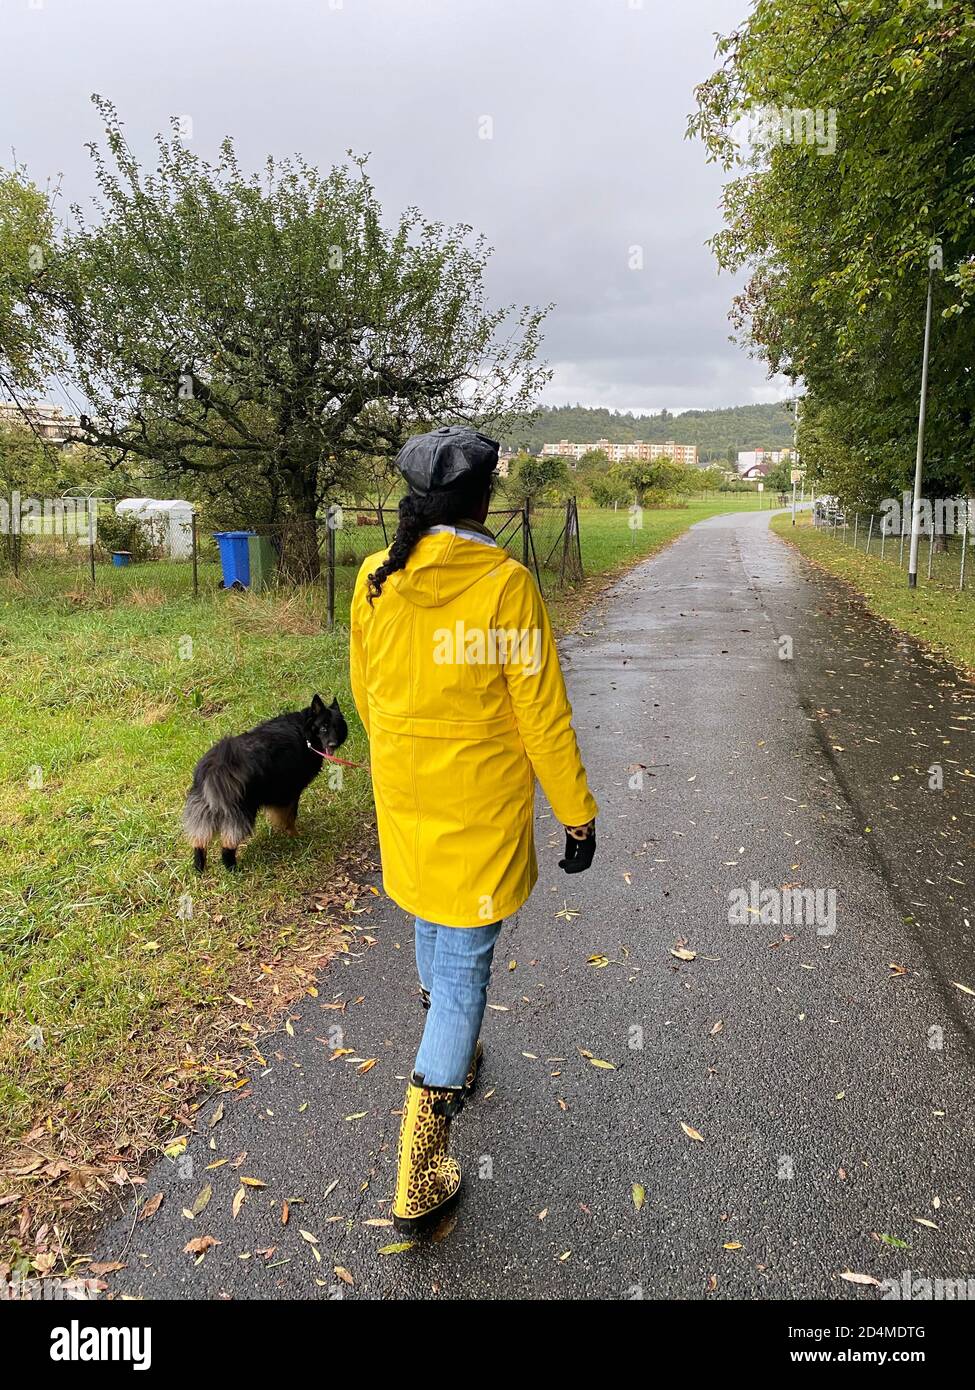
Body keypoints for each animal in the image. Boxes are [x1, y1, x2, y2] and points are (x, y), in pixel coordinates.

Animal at [184, 695, 347, 867]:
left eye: (337, 727)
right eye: (323, 728)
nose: (333, 744)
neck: (304, 731)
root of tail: (217, 765)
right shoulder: (290, 792)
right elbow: (290, 817)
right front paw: (295, 836)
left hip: (204, 807)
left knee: (199, 839)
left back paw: (199, 866)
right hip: (242, 810)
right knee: (228, 842)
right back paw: (232, 867)